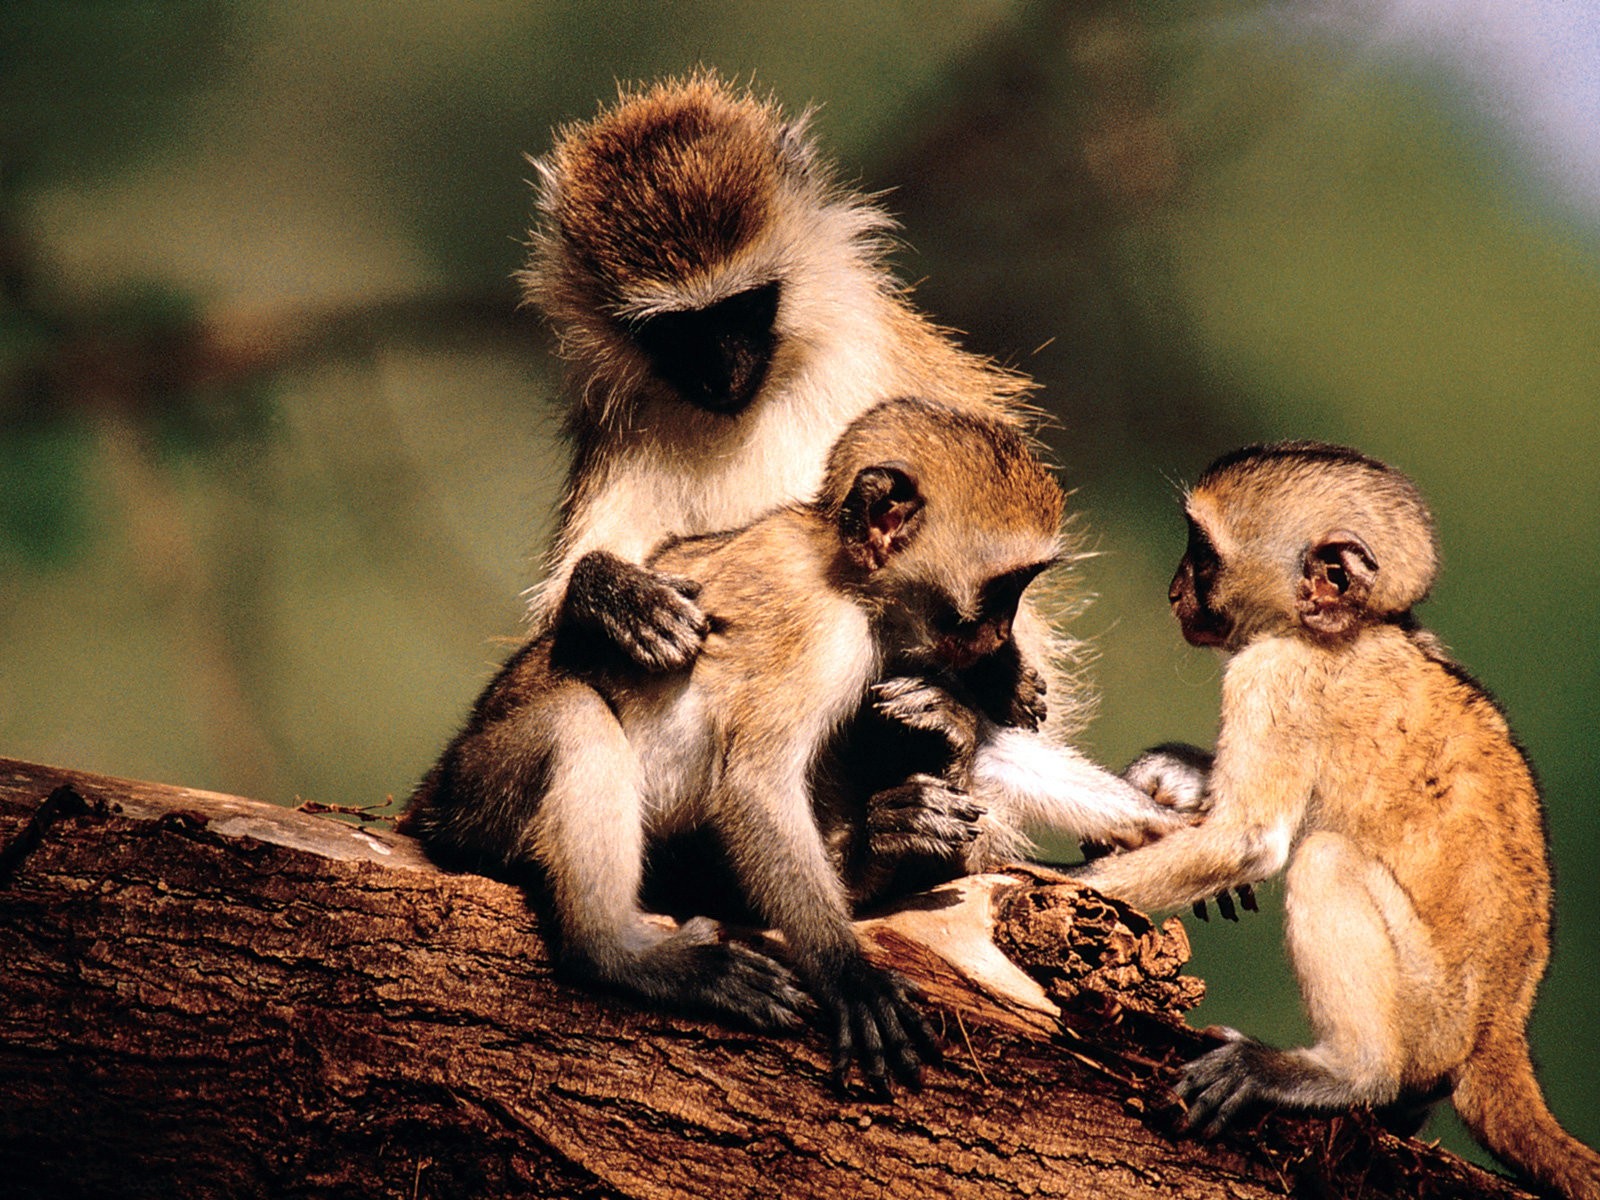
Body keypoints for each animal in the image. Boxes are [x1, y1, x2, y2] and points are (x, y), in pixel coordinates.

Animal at [406, 397, 1195, 1094]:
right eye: (1002, 592)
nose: (1002, 638)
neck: (844, 575)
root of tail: (428, 800)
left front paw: (1166, 823)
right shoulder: (819, 635)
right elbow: (755, 783)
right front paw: (848, 975)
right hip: (479, 790)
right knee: (577, 718)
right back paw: (615, 953)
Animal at [1077, 441, 1600, 1200]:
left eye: (1201, 555)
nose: (1174, 592)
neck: (1358, 630)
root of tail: (1497, 1028)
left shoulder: (1275, 673)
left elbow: (1246, 842)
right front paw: (1169, 774)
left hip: (1429, 1014)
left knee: (1325, 856)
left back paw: (1349, 1074)